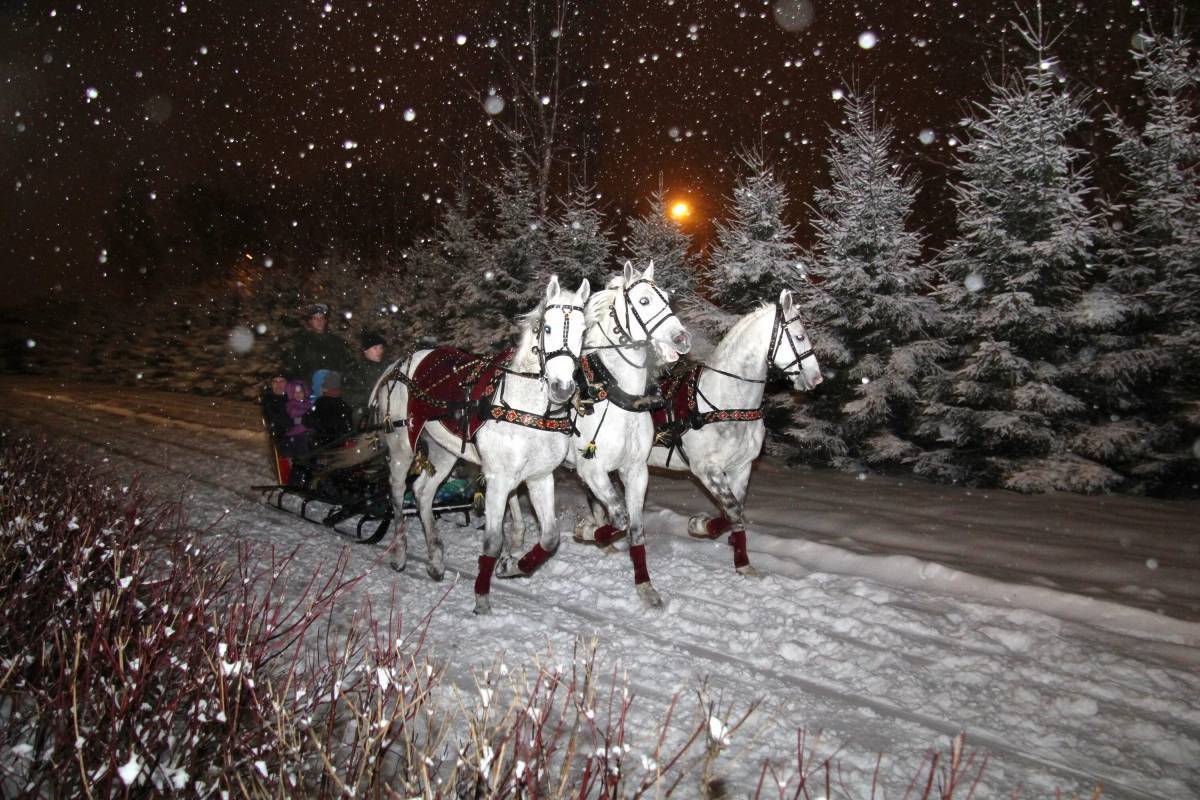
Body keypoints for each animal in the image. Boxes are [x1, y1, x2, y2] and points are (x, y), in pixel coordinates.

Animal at [369, 273, 585, 614]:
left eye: (583, 331)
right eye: (547, 328)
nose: (562, 388)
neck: (527, 408)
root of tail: (397, 366)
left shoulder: (539, 477)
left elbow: (550, 538)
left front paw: (512, 566)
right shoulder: (498, 479)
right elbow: (493, 541)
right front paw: (482, 595)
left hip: (443, 452)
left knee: (423, 493)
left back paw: (435, 558)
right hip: (402, 447)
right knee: (397, 494)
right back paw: (400, 552)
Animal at [648, 291, 825, 573]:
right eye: (799, 336)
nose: (817, 378)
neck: (726, 403)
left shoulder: (741, 467)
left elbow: (735, 510)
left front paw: (739, 558)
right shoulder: (706, 469)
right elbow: (732, 509)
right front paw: (703, 527)